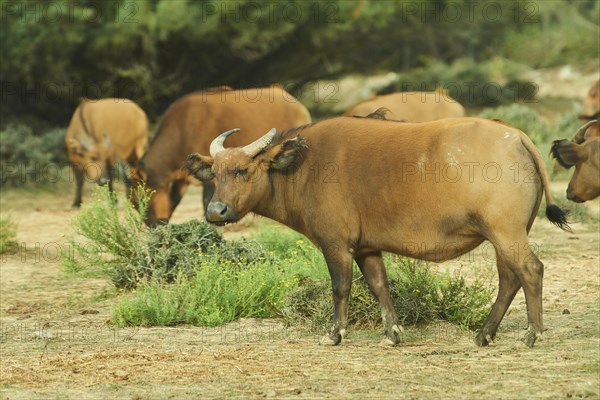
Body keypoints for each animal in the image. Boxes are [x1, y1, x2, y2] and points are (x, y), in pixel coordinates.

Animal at [130, 85, 310, 227]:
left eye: (140, 200)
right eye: (133, 203)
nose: (153, 226)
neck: (184, 127)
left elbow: (206, 201)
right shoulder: (182, 178)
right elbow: (174, 201)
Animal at [188, 111, 572, 346]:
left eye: (242, 170)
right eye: (216, 173)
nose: (216, 211)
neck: (305, 166)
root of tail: (517, 137)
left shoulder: (336, 244)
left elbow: (340, 287)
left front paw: (335, 333)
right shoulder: (368, 248)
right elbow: (379, 286)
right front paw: (392, 332)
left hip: (506, 233)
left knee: (530, 271)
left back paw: (533, 333)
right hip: (504, 235)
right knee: (509, 279)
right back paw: (484, 335)